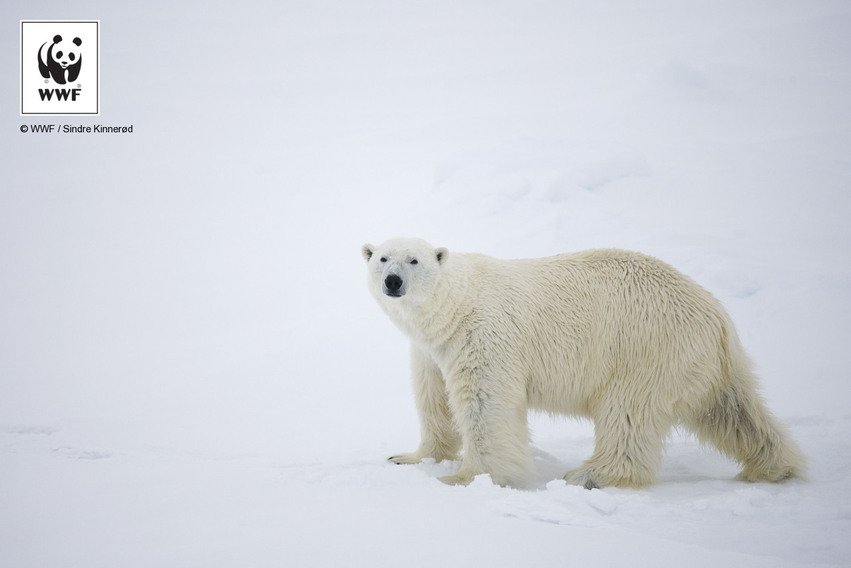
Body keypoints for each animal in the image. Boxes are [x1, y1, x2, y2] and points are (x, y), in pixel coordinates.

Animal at [362, 237, 804, 490]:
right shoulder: (432, 350)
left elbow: (485, 404)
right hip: (702, 364)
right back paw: (775, 467)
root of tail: (718, 317)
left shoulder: (485, 336)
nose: (393, 281)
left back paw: (590, 475)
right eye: (381, 258)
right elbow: (433, 399)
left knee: (627, 414)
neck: (455, 305)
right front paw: (409, 457)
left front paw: (467, 478)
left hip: (643, 349)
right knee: (734, 412)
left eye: (414, 260)